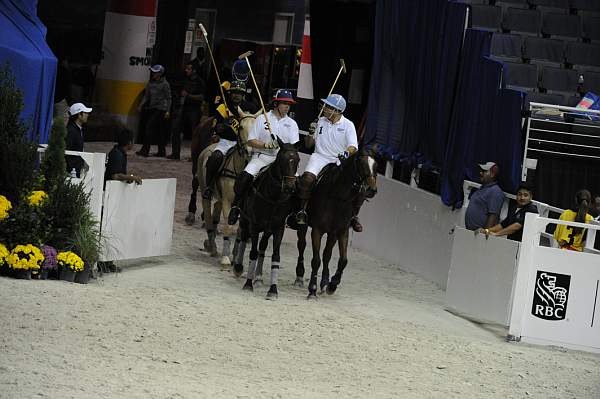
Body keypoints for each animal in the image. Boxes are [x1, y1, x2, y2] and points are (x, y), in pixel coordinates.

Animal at [233, 141, 300, 300]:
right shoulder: (254, 225)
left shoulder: (277, 228)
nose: (290, 188)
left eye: (298, 160)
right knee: (243, 237)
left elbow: (275, 256)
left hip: (267, 229)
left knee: (262, 246)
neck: (273, 196)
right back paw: (238, 267)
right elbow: (253, 252)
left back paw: (258, 277)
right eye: (281, 160)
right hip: (245, 219)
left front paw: (273, 289)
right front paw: (248, 284)